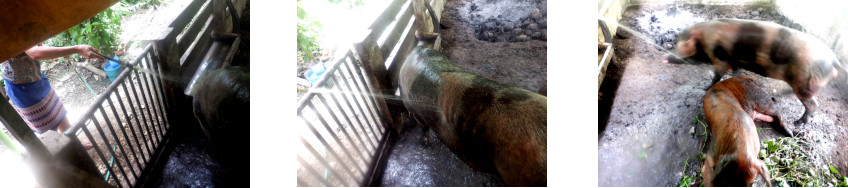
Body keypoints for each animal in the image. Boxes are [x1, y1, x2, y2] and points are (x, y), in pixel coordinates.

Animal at [664, 18, 844, 125]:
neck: (706, 40)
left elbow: (717, 75)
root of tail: (833, 60)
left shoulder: (720, 60)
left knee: (813, 104)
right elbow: (733, 70)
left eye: (680, 44)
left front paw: (705, 88)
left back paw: (798, 123)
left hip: (805, 83)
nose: (666, 57)